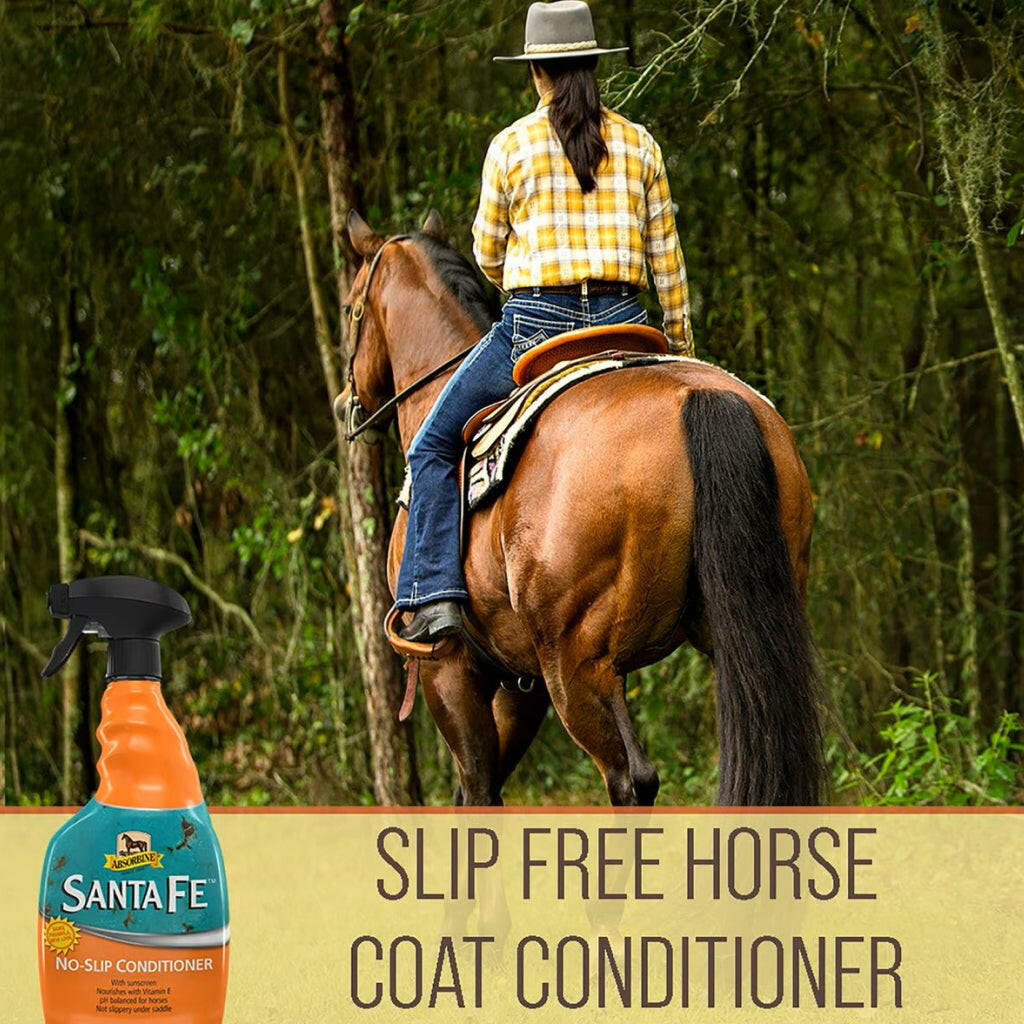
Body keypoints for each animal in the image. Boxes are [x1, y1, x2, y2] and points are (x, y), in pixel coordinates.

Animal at [341, 209, 823, 807]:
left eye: (350, 308)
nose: (346, 403)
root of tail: (699, 397)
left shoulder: (449, 670)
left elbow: (476, 789)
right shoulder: (521, 682)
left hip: (577, 664)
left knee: (630, 780)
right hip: (746, 626)